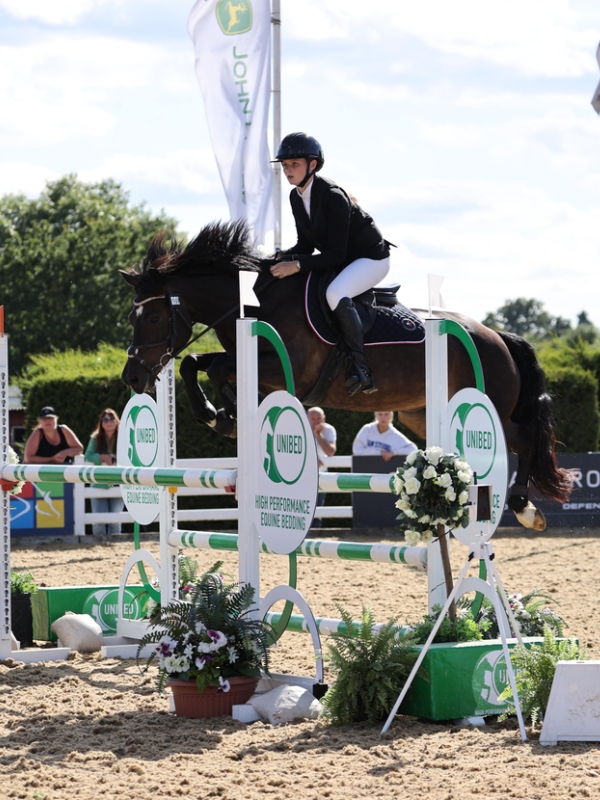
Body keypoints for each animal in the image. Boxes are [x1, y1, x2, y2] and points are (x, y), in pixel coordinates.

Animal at [120, 222, 572, 532]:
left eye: (155, 316)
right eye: (131, 316)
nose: (132, 378)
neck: (255, 300)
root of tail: (497, 336)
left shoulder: (289, 371)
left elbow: (213, 367)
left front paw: (224, 416)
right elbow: (194, 362)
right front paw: (218, 415)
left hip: (491, 402)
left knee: (525, 438)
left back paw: (524, 508)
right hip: (422, 415)